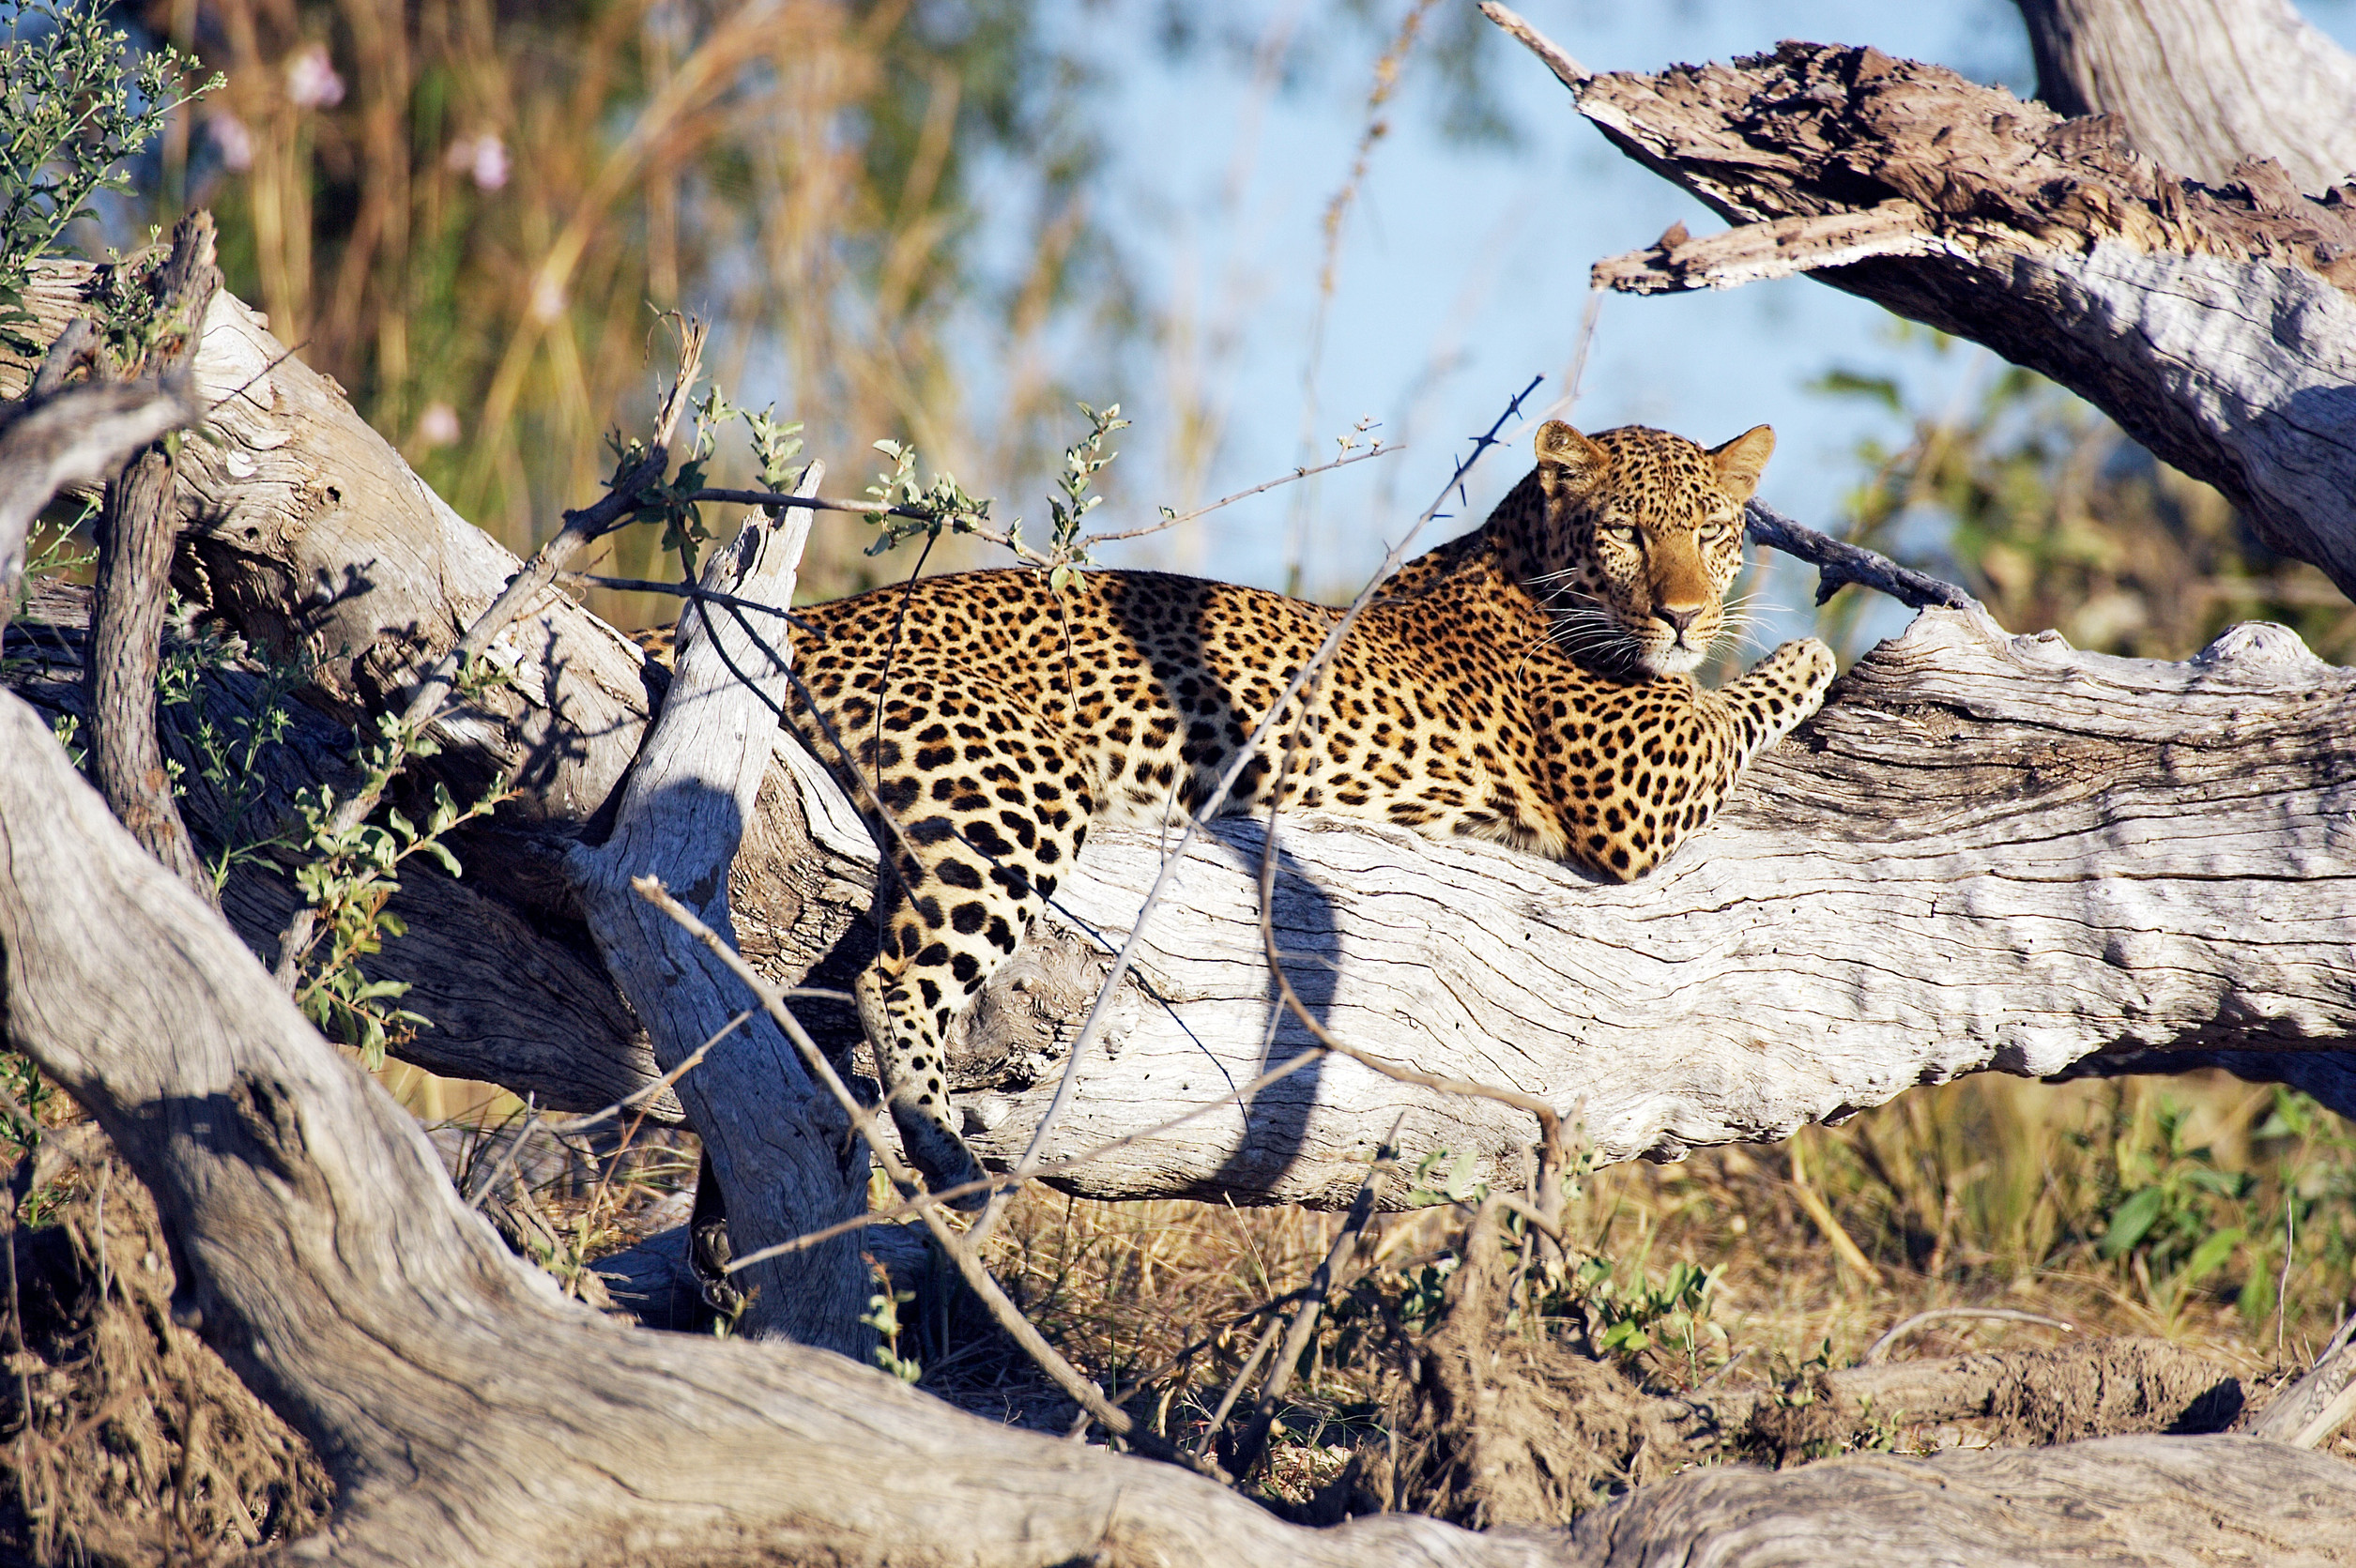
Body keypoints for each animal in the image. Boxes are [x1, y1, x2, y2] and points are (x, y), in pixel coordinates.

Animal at [654, 414, 1828, 1195]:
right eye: (1625, 532)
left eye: (1714, 531)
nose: (1684, 615)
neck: (1530, 560)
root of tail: (813, 616)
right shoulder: (1639, 792)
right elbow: (1744, 699)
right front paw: (1804, 651)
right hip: (1017, 789)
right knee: (899, 977)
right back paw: (942, 1149)